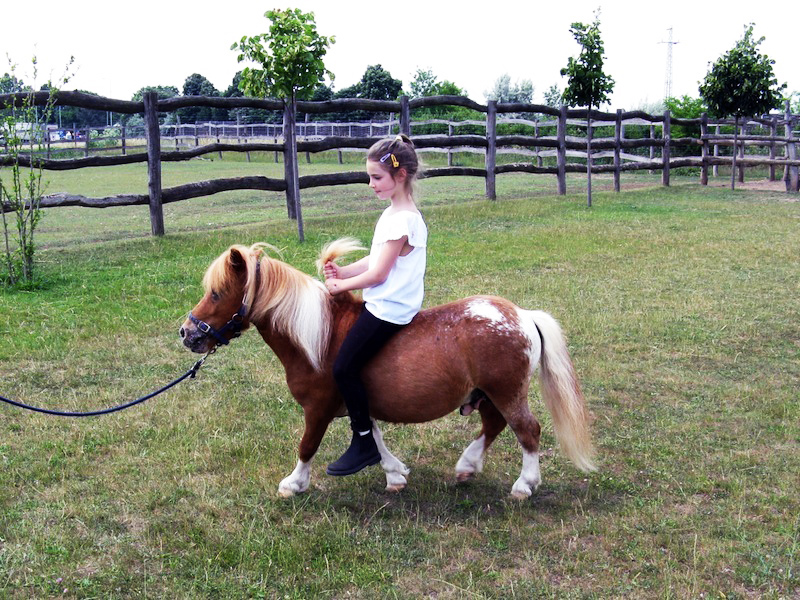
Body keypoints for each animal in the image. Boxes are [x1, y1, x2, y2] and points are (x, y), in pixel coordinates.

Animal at [180, 241, 592, 500]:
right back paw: (467, 466)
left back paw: (524, 485)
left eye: (217, 293)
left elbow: (308, 445)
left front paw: (293, 484)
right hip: (490, 393)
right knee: (494, 425)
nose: (187, 333)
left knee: (527, 430)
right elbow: (373, 436)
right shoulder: (356, 403)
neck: (319, 336)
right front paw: (395, 474)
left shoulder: (318, 408)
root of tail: (522, 315)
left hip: (506, 391)